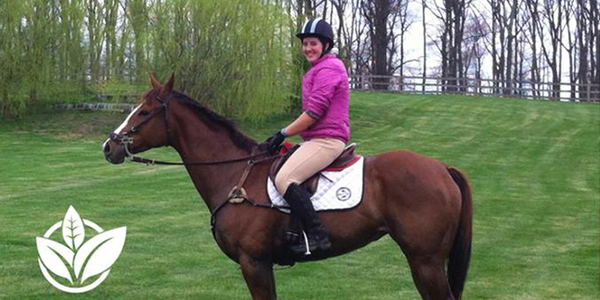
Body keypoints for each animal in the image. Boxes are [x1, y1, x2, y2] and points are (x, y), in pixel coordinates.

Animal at [101, 73, 472, 300]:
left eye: (144, 112)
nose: (109, 146)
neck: (236, 174)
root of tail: (443, 168)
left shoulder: (254, 263)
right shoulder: (261, 265)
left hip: (425, 261)